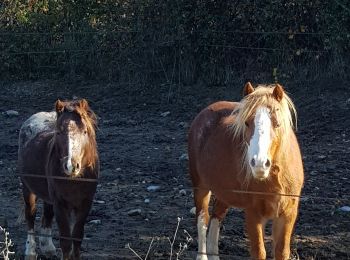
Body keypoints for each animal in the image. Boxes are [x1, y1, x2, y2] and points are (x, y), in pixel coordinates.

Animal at [18, 99, 99, 260]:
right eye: (58, 132)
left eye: (84, 131)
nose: (71, 166)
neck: (75, 180)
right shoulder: (60, 204)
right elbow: (66, 240)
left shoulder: (85, 203)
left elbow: (77, 237)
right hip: (27, 188)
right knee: (30, 215)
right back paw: (30, 251)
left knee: (47, 215)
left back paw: (47, 248)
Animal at [189, 83, 304, 260]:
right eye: (247, 123)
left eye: (277, 123)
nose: (259, 164)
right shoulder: (253, 213)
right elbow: (259, 252)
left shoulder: (288, 214)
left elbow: (282, 251)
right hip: (200, 186)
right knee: (202, 220)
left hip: (224, 192)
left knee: (216, 217)